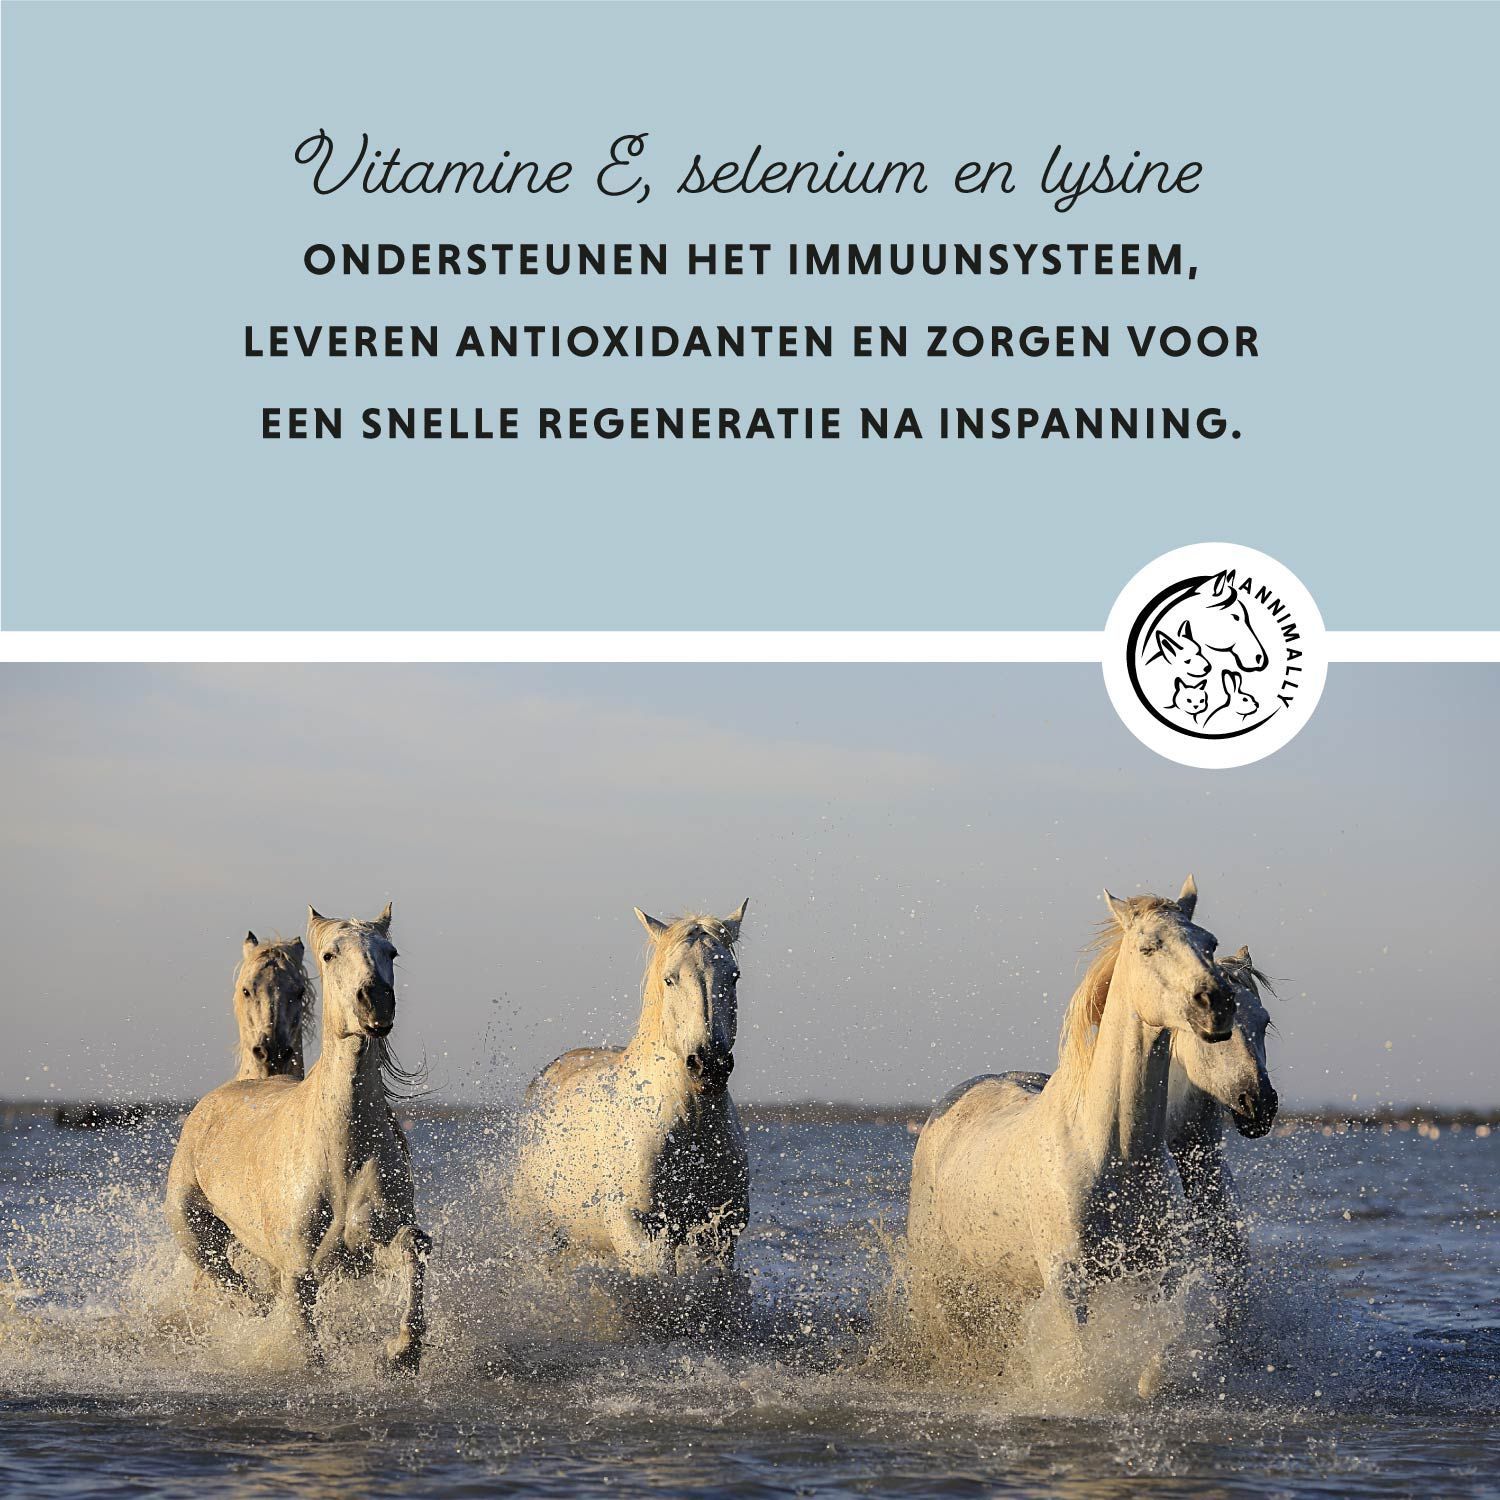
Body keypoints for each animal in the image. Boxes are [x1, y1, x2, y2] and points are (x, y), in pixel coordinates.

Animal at [510, 901, 750, 1291]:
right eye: (669, 978)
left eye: (734, 976)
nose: (709, 1065)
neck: (689, 1128)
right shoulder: (641, 1233)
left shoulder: (718, 1235)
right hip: (545, 1234)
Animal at [905, 878, 1236, 1349]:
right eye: (1148, 947)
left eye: (1210, 943)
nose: (1217, 1003)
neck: (1115, 1152)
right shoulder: (1070, 1285)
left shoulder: (1155, 1277)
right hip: (933, 1272)